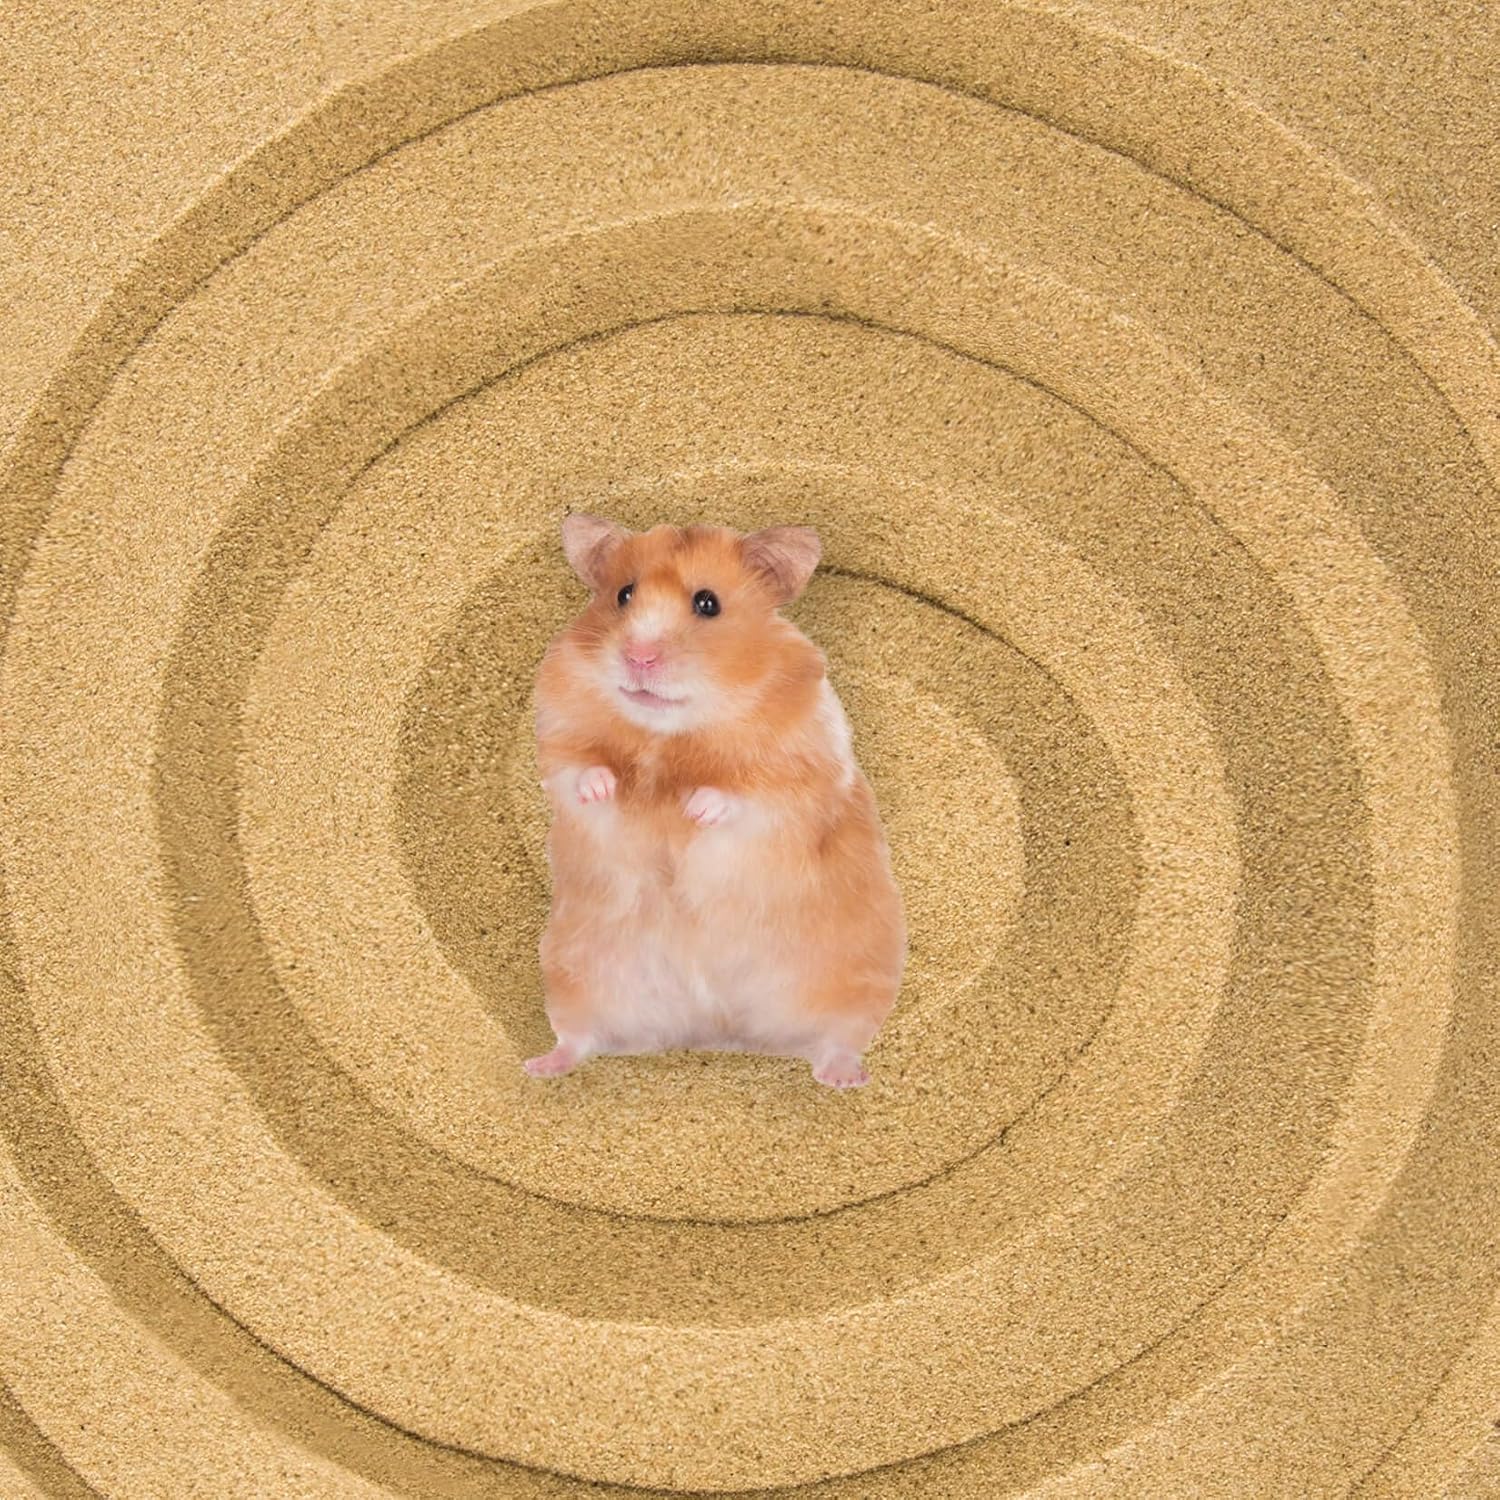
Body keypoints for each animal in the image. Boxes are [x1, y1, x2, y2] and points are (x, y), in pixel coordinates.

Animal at [525, 512, 907, 1089]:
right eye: (622, 594)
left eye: (708, 603)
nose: (638, 657)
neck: (673, 732)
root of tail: (718, 1031)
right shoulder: (561, 737)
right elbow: (579, 772)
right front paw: (606, 786)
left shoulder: (802, 772)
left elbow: (748, 796)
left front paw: (695, 809)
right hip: (576, 969)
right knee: (580, 1037)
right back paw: (538, 1065)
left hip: (856, 974)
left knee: (837, 1038)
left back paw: (844, 1077)